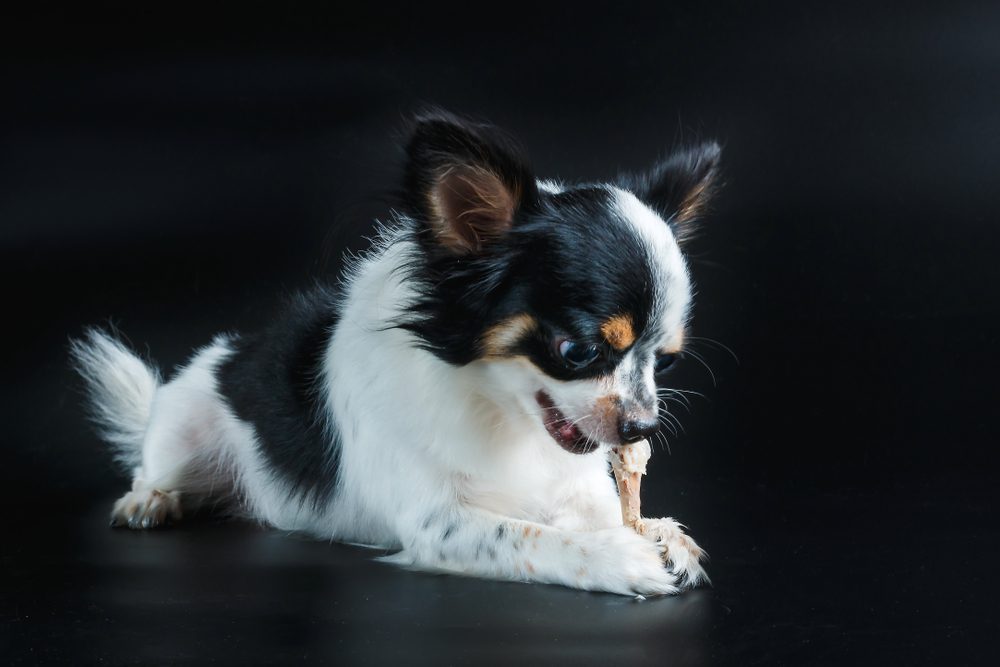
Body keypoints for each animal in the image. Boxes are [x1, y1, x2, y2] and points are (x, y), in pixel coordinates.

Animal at [74, 112, 724, 596]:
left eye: (665, 361)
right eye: (578, 350)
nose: (643, 426)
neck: (504, 416)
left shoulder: (576, 488)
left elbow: (604, 514)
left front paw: (660, 533)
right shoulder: (436, 523)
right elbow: (533, 538)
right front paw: (618, 557)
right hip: (182, 427)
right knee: (154, 466)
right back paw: (150, 498)